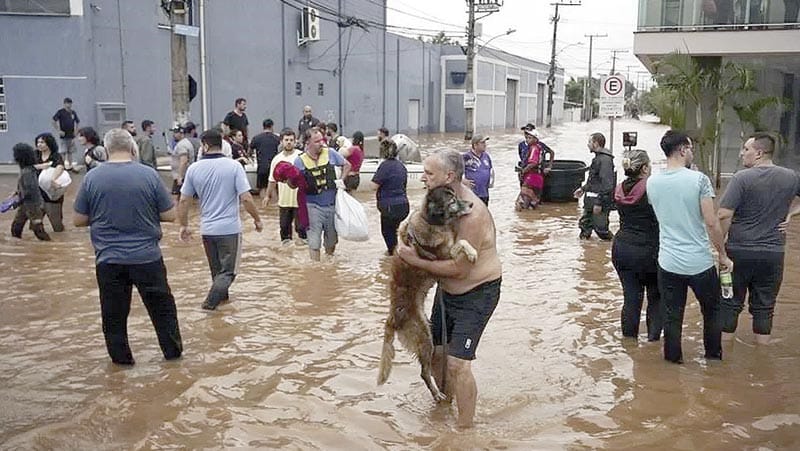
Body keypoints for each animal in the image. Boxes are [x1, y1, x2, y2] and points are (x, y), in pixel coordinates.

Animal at [378, 187, 478, 402]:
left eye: (456, 196)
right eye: (452, 200)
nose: (472, 204)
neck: (431, 222)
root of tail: (391, 318)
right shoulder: (446, 256)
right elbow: (462, 242)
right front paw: (472, 252)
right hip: (425, 338)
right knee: (424, 372)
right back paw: (438, 395)